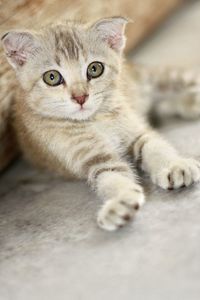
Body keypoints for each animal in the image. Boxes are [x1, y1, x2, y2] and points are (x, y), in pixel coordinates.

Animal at [1, 17, 200, 231]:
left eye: (94, 69)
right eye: (52, 77)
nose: (80, 97)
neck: (94, 120)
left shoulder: (136, 132)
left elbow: (155, 147)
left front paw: (174, 166)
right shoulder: (95, 159)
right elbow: (111, 177)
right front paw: (120, 202)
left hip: (154, 79)